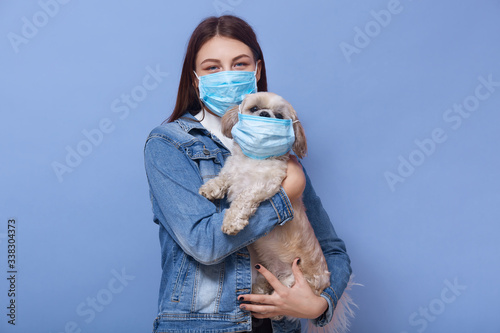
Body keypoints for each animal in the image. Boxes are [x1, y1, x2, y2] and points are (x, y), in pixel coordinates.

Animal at [199, 91, 332, 300]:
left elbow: (244, 197)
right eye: (254, 108)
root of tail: (323, 284)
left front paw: (232, 221)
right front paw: (211, 187)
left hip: (294, 282)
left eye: (278, 116)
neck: (253, 159)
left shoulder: (266, 184)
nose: (264, 114)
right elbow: (224, 177)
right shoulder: (232, 169)